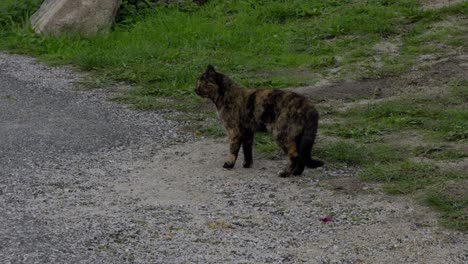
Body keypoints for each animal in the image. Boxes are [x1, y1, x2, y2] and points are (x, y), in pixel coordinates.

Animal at [196, 65, 324, 178]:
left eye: (201, 82)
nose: (195, 89)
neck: (225, 96)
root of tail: (309, 106)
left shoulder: (234, 131)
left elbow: (233, 149)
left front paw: (229, 164)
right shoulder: (247, 132)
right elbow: (247, 150)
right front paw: (247, 164)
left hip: (281, 134)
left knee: (294, 155)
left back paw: (285, 173)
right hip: (299, 137)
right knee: (302, 155)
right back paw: (297, 173)